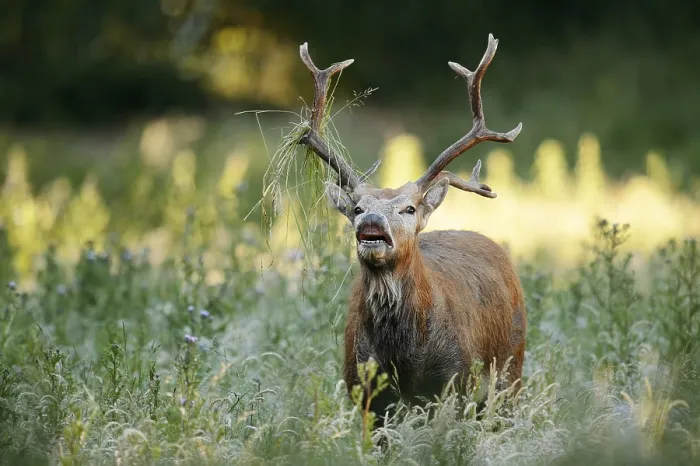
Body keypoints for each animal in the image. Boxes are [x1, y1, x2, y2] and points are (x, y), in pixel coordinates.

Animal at [295, 34, 527, 418]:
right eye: (357, 208)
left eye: (408, 208)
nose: (371, 222)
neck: (402, 358)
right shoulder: (361, 385)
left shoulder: (454, 380)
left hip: (512, 369)